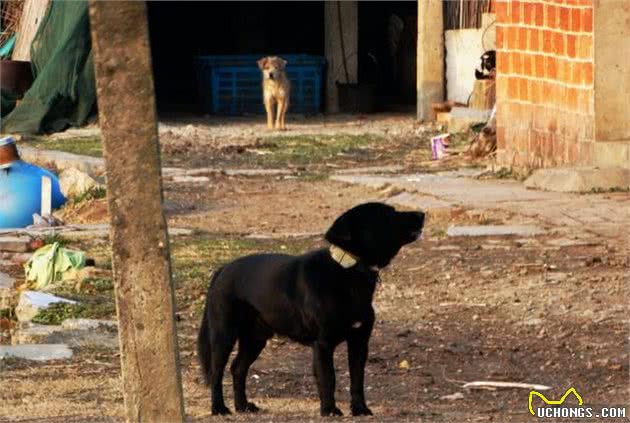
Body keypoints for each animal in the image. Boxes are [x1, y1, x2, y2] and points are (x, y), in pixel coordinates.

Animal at [198, 203, 424, 418]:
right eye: (387, 214)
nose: (422, 214)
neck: (348, 271)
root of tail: (222, 270)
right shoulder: (323, 344)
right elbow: (328, 378)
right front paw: (330, 410)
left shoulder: (359, 342)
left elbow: (357, 379)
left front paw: (360, 409)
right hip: (224, 335)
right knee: (217, 373)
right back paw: (219, 408)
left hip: (255, 338)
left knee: (238, 368)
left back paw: (243, 406)